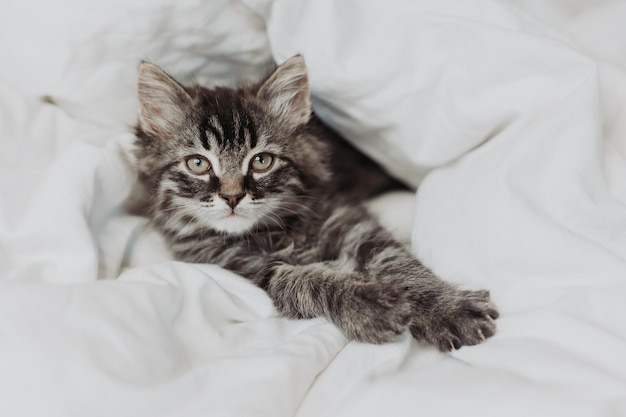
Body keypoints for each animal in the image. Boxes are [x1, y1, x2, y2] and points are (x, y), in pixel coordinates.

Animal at [133, 54, 498, 348]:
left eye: (261, 161)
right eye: (198, 164)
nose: (232, 196)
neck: (275, 231)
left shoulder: (351, 221)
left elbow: (398, 263)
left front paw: (447, 309)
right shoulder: (244, 269)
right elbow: (306, 280)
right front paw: (369, 305)